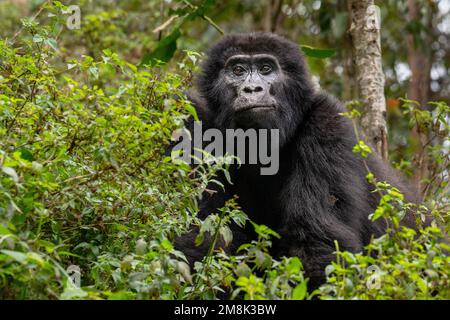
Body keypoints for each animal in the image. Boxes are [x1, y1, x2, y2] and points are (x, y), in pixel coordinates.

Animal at [173, 31, 418, 288]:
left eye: (266, 68)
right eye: (238, 70)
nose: (252, 89)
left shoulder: (327, 122)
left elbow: (315, 244)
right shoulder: (193, 120)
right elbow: (202, 236)